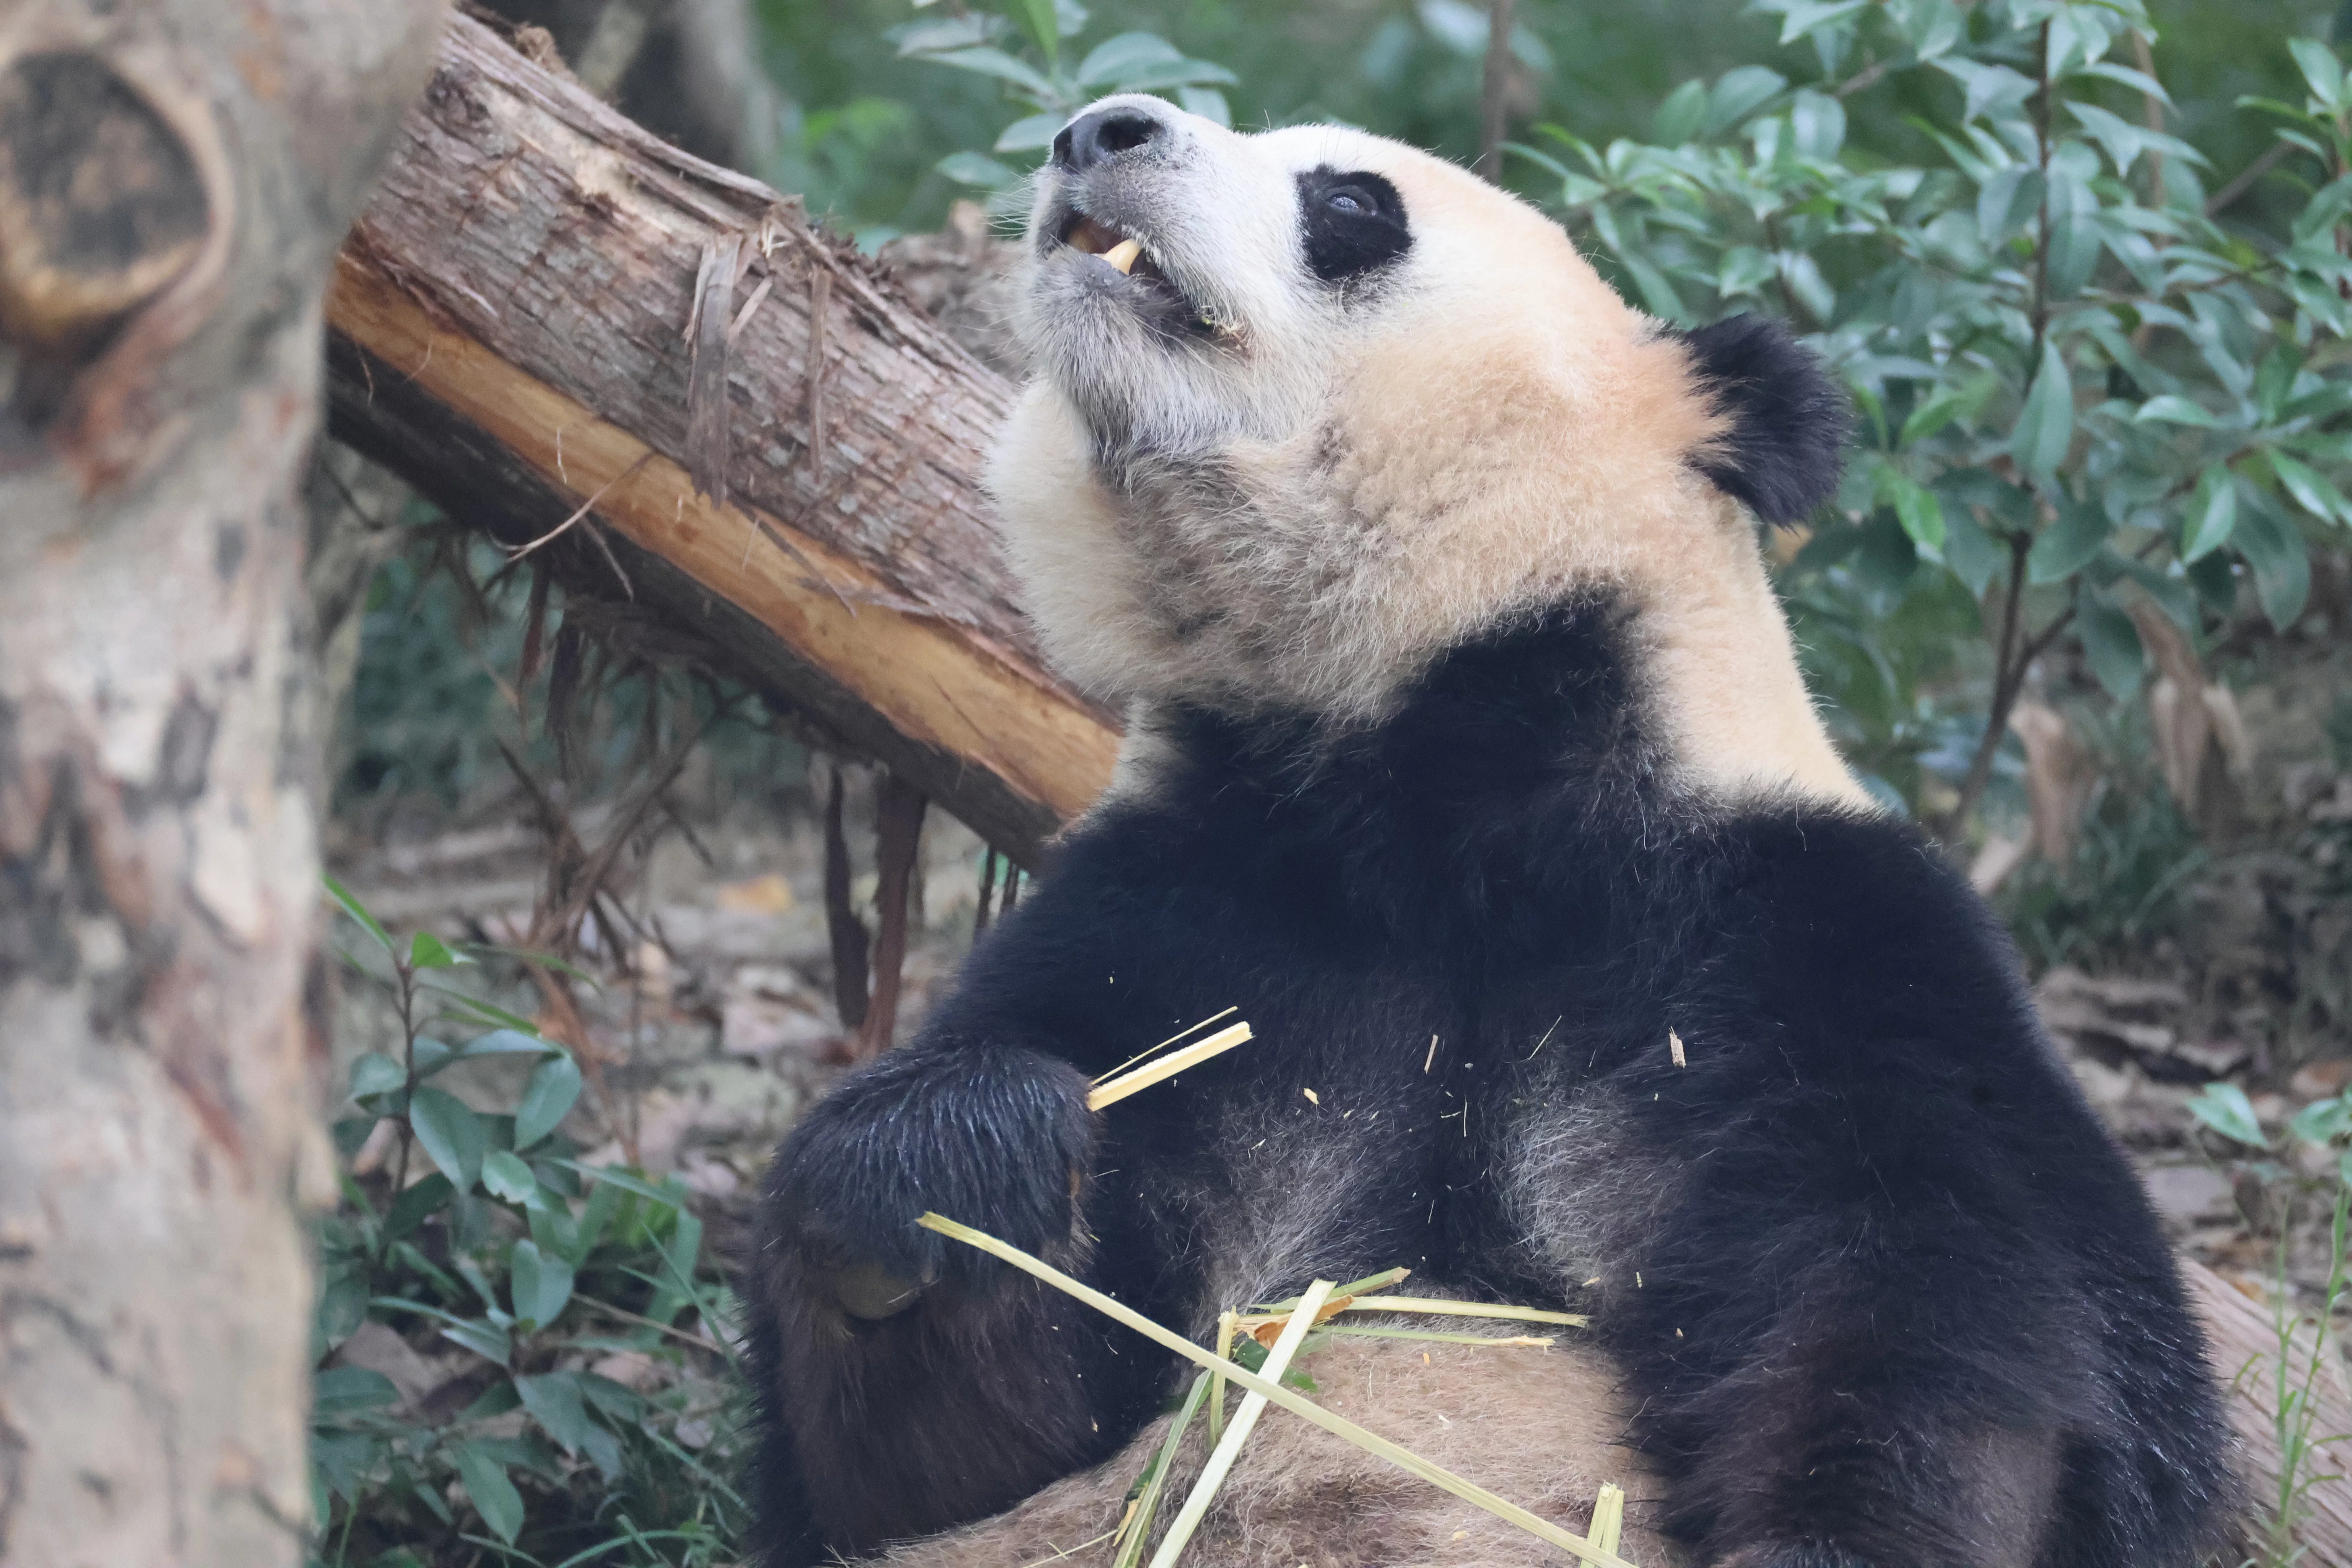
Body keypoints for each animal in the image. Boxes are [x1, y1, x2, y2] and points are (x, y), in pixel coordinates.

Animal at [745, 95, 2234, 1568]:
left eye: (1351, 203)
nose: (1097, 128)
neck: (1433, 789)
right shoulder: (1190, 914)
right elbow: (943, 1468)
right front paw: (943, 1167)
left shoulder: (1800, 942)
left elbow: (1939, 1302)